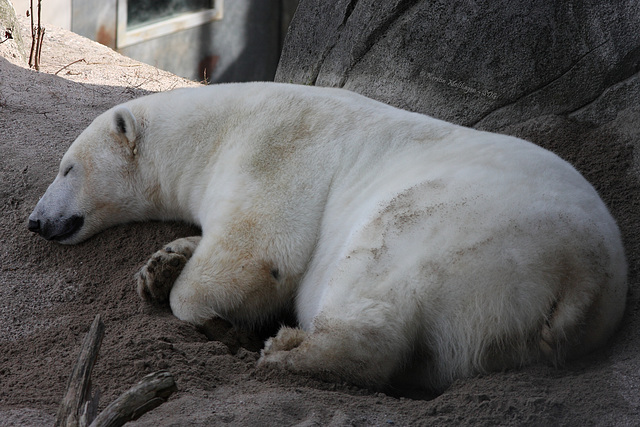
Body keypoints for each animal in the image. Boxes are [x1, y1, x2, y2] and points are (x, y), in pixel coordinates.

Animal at [28, 82, 624, 392]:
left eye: (66, 169)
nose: (35, 221)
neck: (211, 130)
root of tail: (585, 273)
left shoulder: (272, 148)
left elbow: (259, 251)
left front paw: (218, 320)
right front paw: (161, 266)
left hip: (460, 228)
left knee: (376, 285)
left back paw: (286, 350)